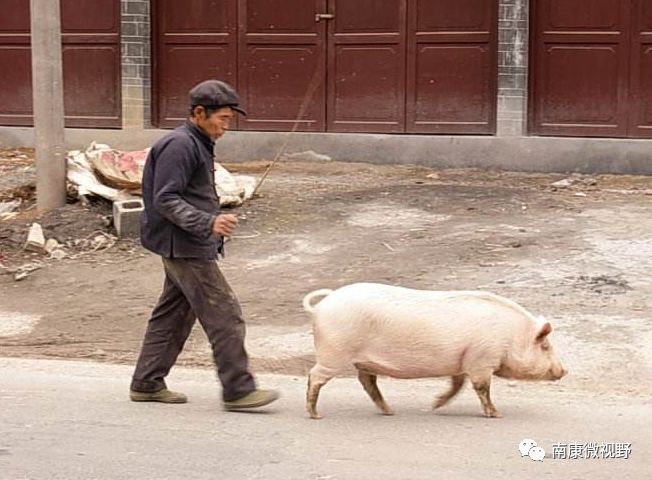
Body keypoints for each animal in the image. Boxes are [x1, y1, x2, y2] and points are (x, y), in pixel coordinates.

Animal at [304, 284, 564, 418]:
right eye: (545, 346)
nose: (564, 370)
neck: (512, 336)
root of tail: (324, 303)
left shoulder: (462, 361)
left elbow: (457, 385)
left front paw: (434, 406)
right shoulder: (481, 360)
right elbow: (482, 388)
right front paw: (496, 415)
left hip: (362, 360)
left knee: (367, 381)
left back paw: (390, 411)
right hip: (333, 354)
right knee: (314, 377)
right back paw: (315, 414)